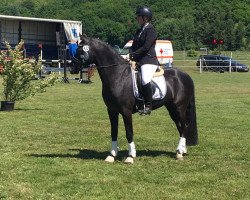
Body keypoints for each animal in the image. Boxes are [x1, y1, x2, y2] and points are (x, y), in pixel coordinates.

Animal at [73, 35, 198, 163]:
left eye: (81, 50)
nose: (73, 67)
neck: (118, 75)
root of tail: (184, 75)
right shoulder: (112, 110)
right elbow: (114, 131)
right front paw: (112, 155)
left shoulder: (126, 111)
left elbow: (129, 132)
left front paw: (130, 156)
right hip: (171, 108)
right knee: (180, 126)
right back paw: (181, 151)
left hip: (179, 107)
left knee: (184, 126)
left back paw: (179, 152)